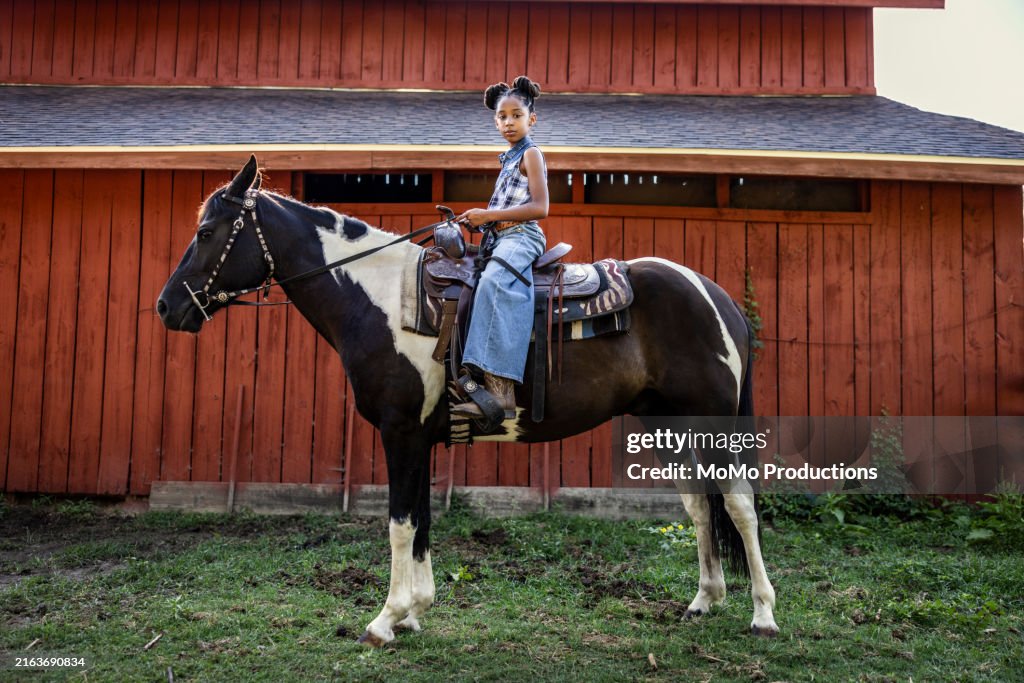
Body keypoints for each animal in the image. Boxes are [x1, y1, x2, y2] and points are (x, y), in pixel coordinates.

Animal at [157, 156, 779, 645]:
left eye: (208, 231)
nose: (167, 306)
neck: (383, 298)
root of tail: (719, 296)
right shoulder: (422, 438)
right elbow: (423, 521)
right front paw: (414, 613)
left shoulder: (401, 432)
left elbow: (400, 523)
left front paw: (384, 620)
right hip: (671, 424)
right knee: (700, 505)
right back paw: (704, 601)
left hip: (714, 422)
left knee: (740, 505)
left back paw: (763, 615)